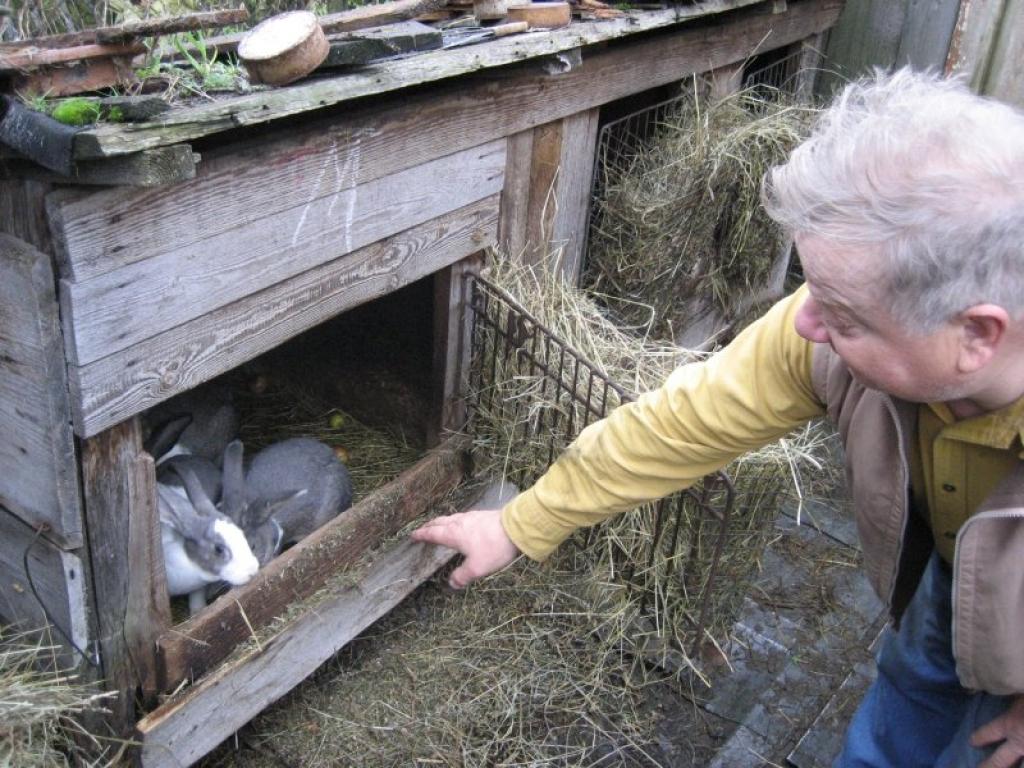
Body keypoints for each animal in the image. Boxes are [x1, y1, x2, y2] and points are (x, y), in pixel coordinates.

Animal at [156, 466, 260, 618]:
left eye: (241, 533)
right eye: (218, 549)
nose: (252, 570)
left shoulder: (198, 589)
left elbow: (196, 600)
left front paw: (197, 612)